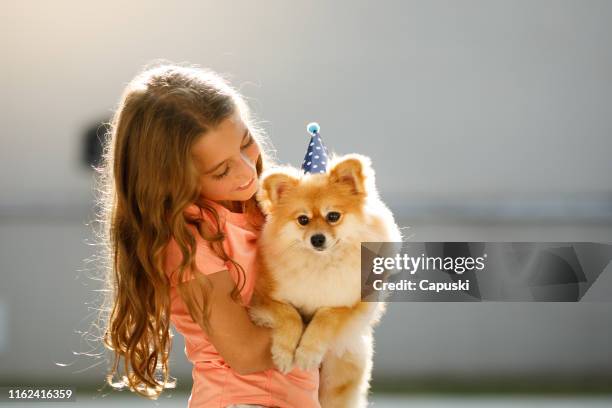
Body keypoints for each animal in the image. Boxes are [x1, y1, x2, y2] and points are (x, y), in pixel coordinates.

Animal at [249, 154, 402, 408]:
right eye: (303, 220)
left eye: (333, 217)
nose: (317, 238)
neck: (321, 264)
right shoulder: (261, 298)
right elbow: (290, 315)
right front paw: (284, 354)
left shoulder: (353, 305)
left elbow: (325, 317)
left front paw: (307, 354)